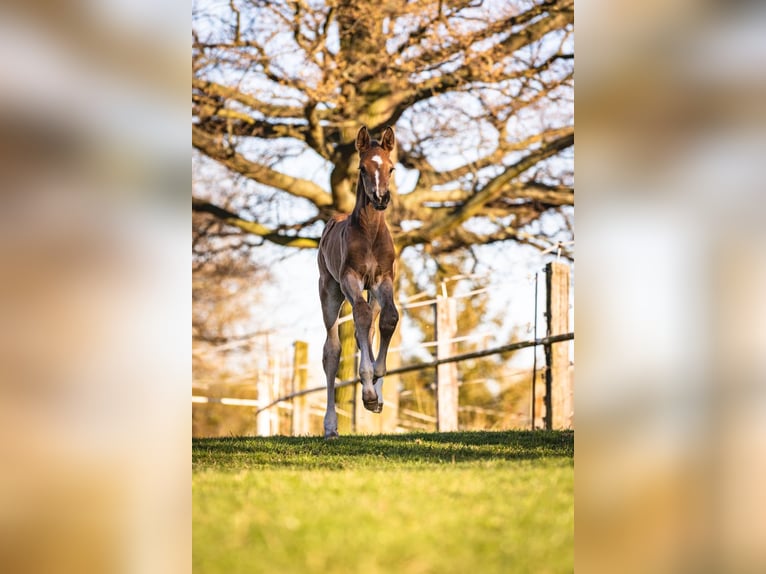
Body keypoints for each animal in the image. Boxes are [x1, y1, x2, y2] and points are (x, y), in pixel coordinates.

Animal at [317, 125, 399, 438]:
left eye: (391, 167)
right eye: (362, 168)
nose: (380, 198)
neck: (370, 233)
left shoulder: (382, 280)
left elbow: (388, 319)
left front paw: (376, 385)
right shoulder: (350, 279)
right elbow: (361, 317)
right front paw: (367, 390)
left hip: (370, 291)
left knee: (370, 328)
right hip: (329, 290)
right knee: (332, 351)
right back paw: (331, 427)